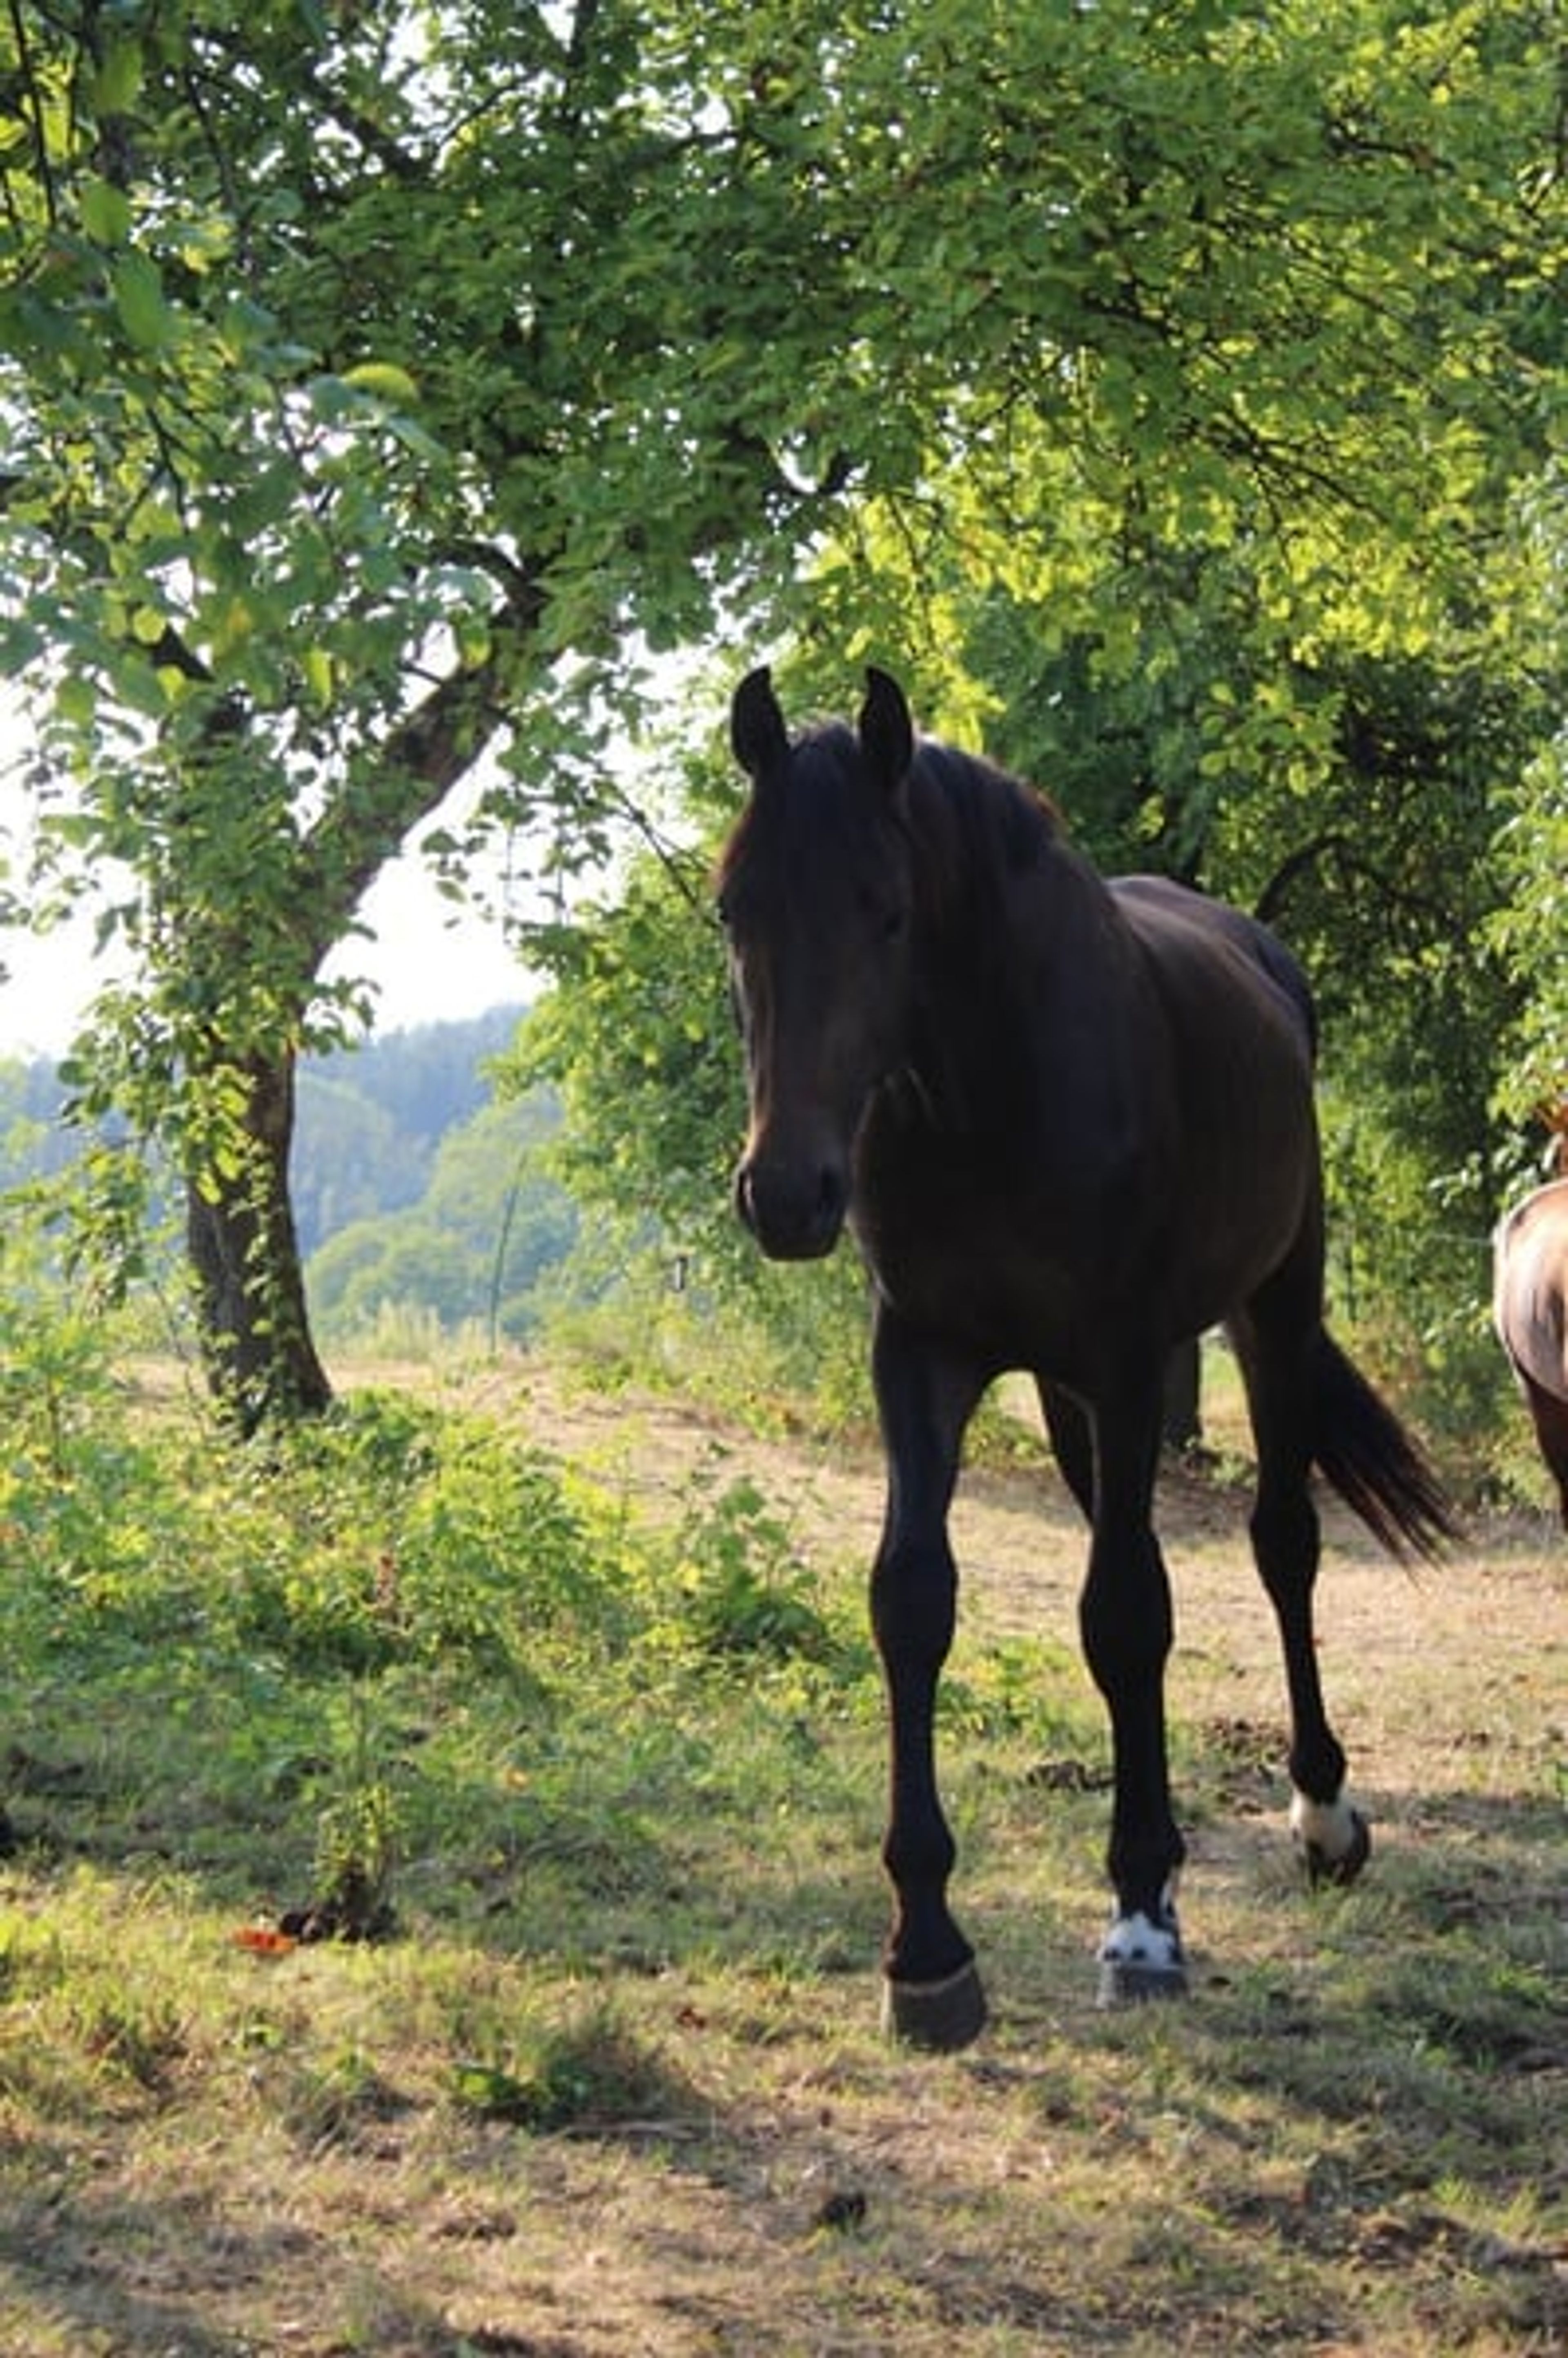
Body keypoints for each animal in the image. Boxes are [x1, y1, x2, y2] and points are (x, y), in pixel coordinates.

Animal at [718, 665, 1456, 2050]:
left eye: (887, 910)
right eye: (735, 907)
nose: (787, 1193)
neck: (989, 1089)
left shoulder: (1124, 1354)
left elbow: (1124, 1611)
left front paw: (1140, 1920)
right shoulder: (924, 1354)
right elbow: (916, 1598)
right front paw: (927, 1950)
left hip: (1270, 1310)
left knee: (1279, 1545)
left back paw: (1319, 1814)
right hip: (1067, 1396)